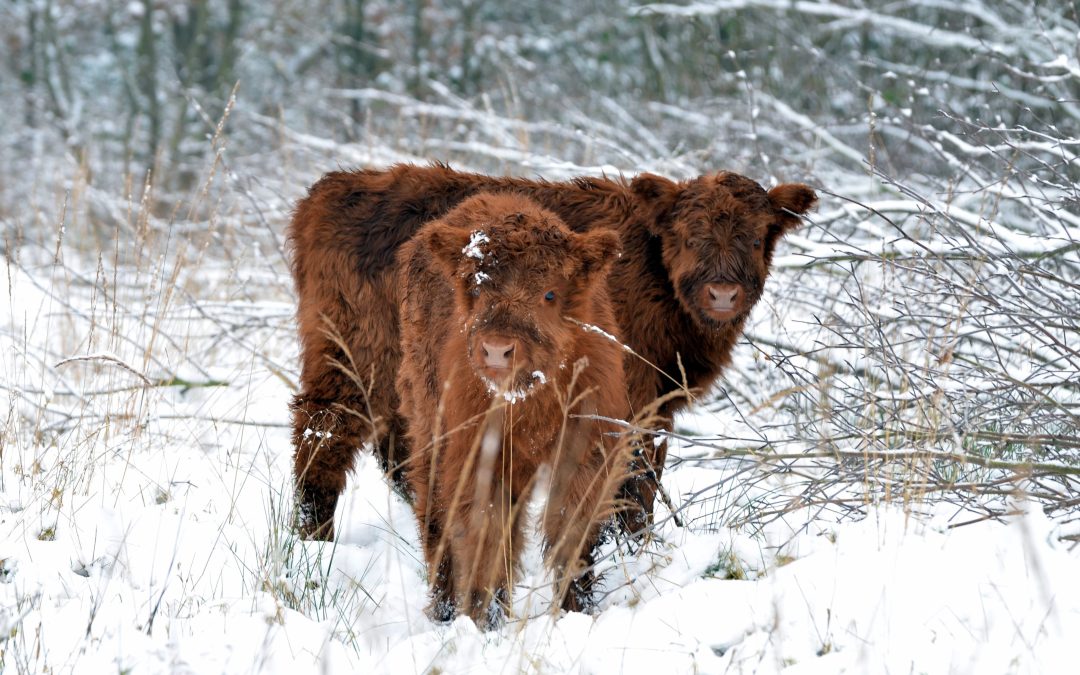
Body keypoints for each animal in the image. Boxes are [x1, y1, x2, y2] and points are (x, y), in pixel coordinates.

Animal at [399, 193, 630, 626]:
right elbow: (486, 538)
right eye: (476, 289)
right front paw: (480, 620)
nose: (496, 350)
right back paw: (444, 609)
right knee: (437, 517)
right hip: (429, 425)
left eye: (550, 294)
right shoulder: (477, 457)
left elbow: (569, 535)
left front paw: (574, 610)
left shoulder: (586, 456)